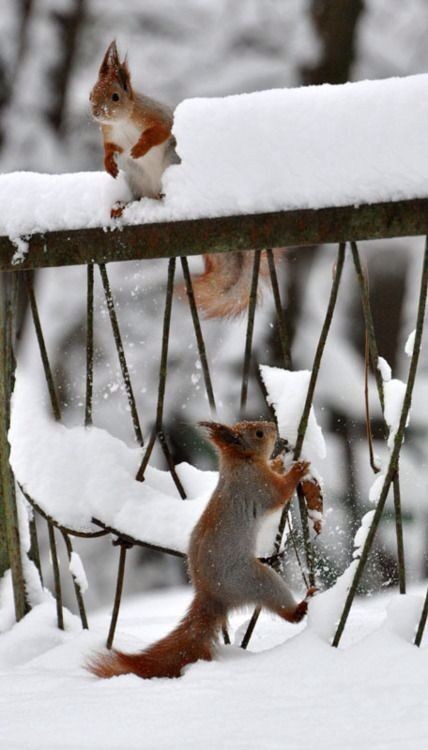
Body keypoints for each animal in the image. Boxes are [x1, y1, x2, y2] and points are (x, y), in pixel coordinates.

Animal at [89, 41, 274, 318]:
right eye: (92, 93)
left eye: (115, 96)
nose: (95, 111)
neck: (122, 122)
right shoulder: (109, 135)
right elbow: (109, 150)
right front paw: (109, 164)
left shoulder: (156, 117)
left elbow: (159, 131)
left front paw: (139, 148)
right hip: (136, 179)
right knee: (140, 198)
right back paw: (123, 206)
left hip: (171, 160)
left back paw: (162, 195)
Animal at [89, 424, 318, 680]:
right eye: (258, 433)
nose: (273, 428)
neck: (240, 462)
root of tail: (210, 595)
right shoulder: (258, 486)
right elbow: (280, 492)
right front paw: (296, 470)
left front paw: (278, 462)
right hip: (252, 580)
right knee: (282, 605)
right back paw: (301, 606)